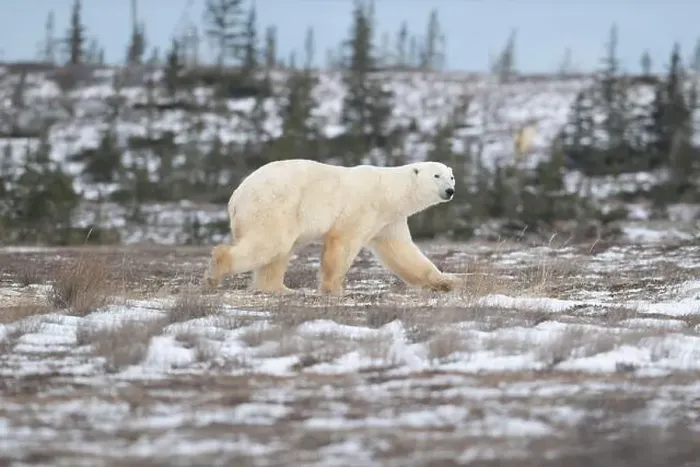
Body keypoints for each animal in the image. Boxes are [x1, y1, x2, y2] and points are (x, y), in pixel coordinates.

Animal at [204, 159, 459, 295]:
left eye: (451, 176)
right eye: (436, 176)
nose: (450, 191)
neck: (390, 191)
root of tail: (236, 196)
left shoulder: (388, 220)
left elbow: (402, 252)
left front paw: (446, 282)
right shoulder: (363, 207)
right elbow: (343, 242)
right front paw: (333, 288)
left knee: (277, 254)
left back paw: (279, 288)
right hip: (275, 205)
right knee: (270, 243)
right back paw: (216, 272)